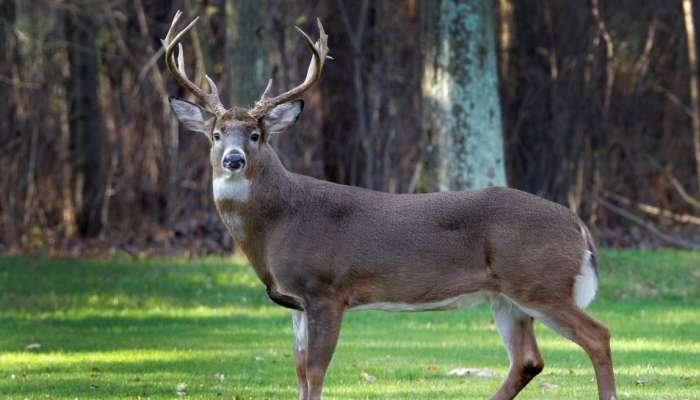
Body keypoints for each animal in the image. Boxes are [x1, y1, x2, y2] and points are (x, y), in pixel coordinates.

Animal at [163, 11, 616, 400]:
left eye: (256, 135)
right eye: (216, 134)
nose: (233, 160)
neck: (278, 223)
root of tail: (578, 225)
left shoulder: (327, 289)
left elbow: (315, 371)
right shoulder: (296, 301)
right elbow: (298, 371)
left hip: (540, 282)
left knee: (598, 335)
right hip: (506, 297)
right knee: (528, 360)